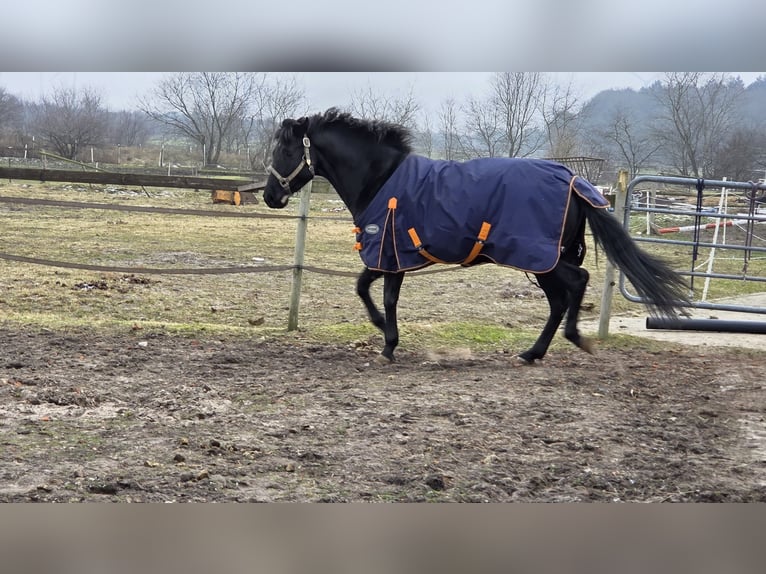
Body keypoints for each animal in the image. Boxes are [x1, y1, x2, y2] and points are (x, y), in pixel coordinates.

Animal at [263, 108, 689, 364]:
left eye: (286, 150)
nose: (270, 196)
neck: (381, 178)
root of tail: (573, 180)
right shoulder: (388, 256)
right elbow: (366, 289)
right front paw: (386, 336)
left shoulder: (390, 253)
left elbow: (377, 295)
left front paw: (387, 341)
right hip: (547, 260)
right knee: (558, 300)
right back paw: (532, 353)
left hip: (542, 258)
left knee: (577, 283)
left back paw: (573, 339)